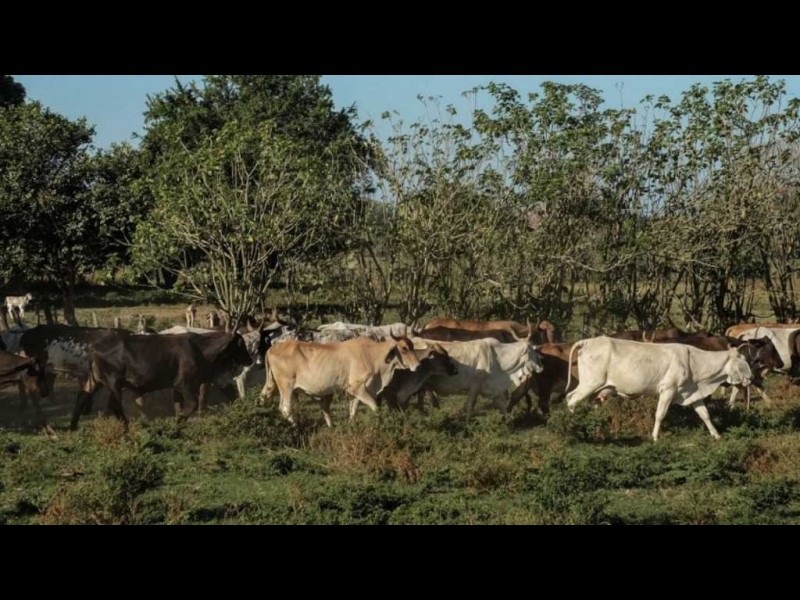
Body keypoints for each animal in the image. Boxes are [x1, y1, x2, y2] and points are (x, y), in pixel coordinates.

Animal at [85, 331, 253, 428]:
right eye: (241, 344)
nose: (250, 360)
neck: (202, 349)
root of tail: (94, 346)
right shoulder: (184, 384)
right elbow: (192, 404)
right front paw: (176, 424)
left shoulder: (177, 388)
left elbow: (179, 407)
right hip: (114, 383)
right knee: (115, 405)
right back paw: (126, 428)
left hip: (98, 382)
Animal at [262, 335, 422, 426]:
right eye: (404, 348)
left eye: (413, 346)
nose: (418, 365)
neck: (373, 355)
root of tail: (272, 348)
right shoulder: (357, 388)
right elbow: (376, 408)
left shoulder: (357, 392)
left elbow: (354, 411)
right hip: (286, 386)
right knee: (285, 408)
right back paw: (295, 426)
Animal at [411, 333, 544, 420]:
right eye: (533, 350)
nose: (541, 367)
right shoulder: (475, 386)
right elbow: (470, 406)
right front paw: (467, 425)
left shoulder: (493, 389)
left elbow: (502, 406)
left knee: (420, 402)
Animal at [565, 336, 752, 441]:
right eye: (742, 360)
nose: (750, 379)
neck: (695, 363)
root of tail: (587, 341)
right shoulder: (668, 389)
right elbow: (660, 415)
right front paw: (655, 437)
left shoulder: (692, 393)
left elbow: (704, 414)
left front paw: (716, 435)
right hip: (590, 383)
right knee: (571, 400)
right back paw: (573, 428)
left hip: (596, 390)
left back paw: (598, 432)